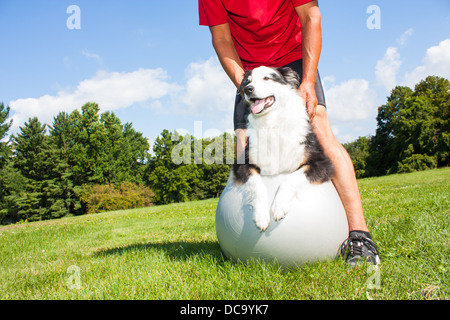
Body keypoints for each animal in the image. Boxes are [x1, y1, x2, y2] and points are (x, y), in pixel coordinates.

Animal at [232, 66, 334, 230]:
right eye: (248, 81)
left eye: (267, 78)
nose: (248, 89)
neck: (271, 122)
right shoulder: (241, 164)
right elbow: (257, 184)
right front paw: (261, 215)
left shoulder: (323, 162)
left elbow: (291, 178)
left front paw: (279, 206)